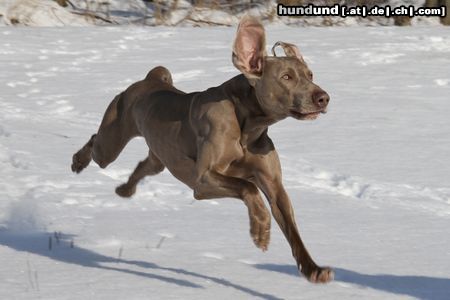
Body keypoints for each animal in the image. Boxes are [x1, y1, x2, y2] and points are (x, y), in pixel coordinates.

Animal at [70, 15, 330, 284]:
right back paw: (78, 161)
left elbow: (292, 230)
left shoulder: (275, 187)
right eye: (286, 77)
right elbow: (247, 187)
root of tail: (151, 79)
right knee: (96, 142)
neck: (247, 126)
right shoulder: (202, 181)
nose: (323, 98)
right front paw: (260, 228)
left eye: (310, 74)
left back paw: (125, 189)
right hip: (110, 144)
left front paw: (313, 269)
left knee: (145, 165)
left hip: (161, 156)